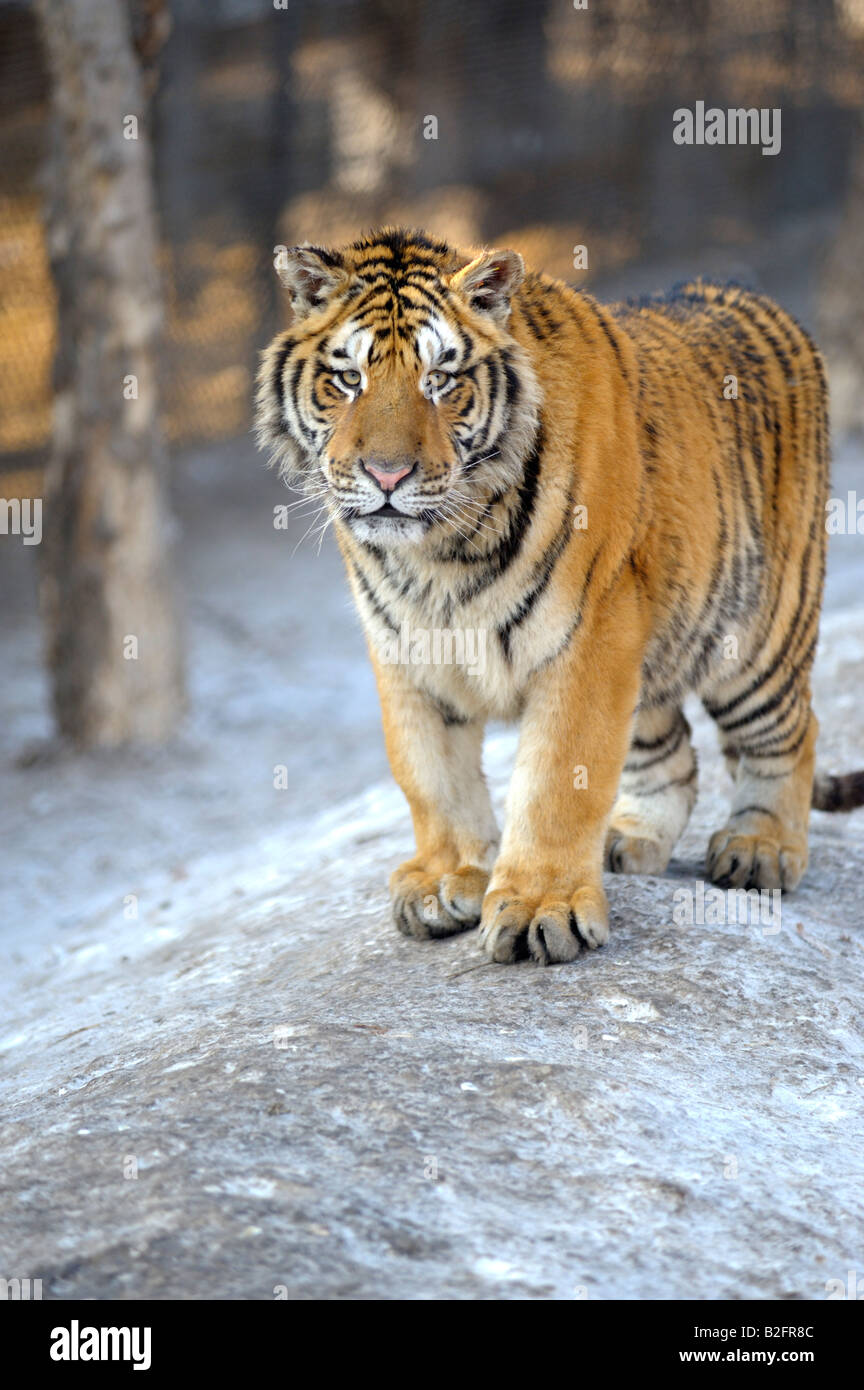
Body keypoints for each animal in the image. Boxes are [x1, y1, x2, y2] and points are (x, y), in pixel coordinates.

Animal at [255, 230, 864, 967]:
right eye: (349, 379)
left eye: (440, 380)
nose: (387, 474)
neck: (440, 554)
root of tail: (756, 297)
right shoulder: (405, 649)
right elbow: (429, 774)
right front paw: (444, 880)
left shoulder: (588, 638)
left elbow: (556, 781)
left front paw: (541, 907)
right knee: (673, 752)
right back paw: (632, 837)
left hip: (754, 639)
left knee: (793, 732)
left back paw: (760, 848)